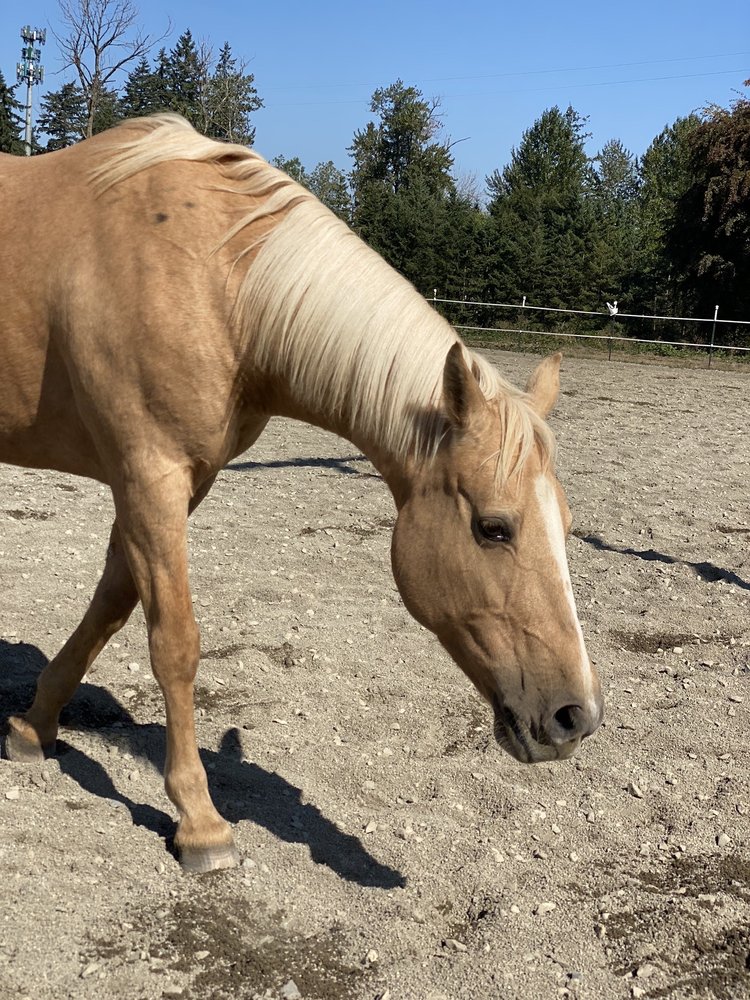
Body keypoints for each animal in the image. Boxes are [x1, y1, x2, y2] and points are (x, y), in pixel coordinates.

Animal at [0, 114, 603, 872]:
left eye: (567, 526)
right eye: (495, 527)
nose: (576, 718)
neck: (217, 280)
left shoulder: (176, 483)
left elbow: (112, 603)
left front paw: (32, 728)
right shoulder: (149, 475)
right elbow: (174, 641)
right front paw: (200, 821)